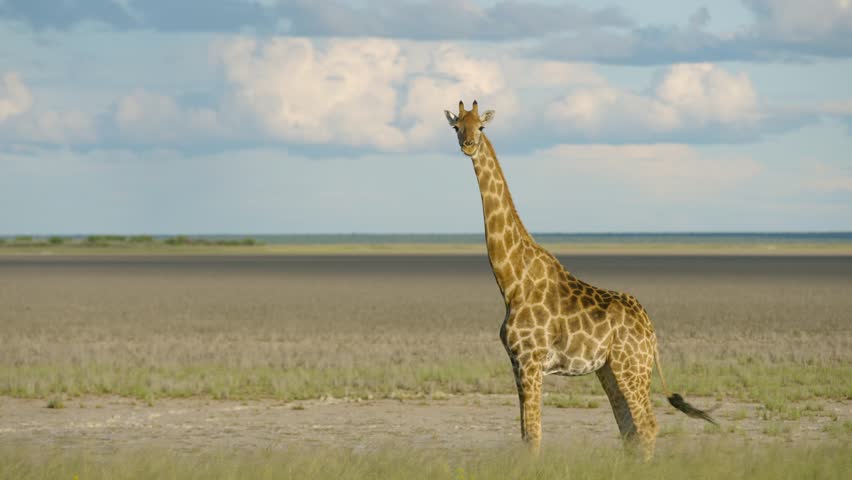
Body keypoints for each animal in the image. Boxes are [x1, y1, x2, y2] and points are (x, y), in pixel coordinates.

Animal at [444, 100, 716, 459]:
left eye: (482, 126)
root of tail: (651, 330)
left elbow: (533, 436)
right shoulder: (517, 364)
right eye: (456, 126)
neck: (511, 282)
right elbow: (525, 434)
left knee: (647, 426)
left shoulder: (530, 361)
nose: (468, 145)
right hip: (610, 369)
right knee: (629, 429)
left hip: (632, 367)